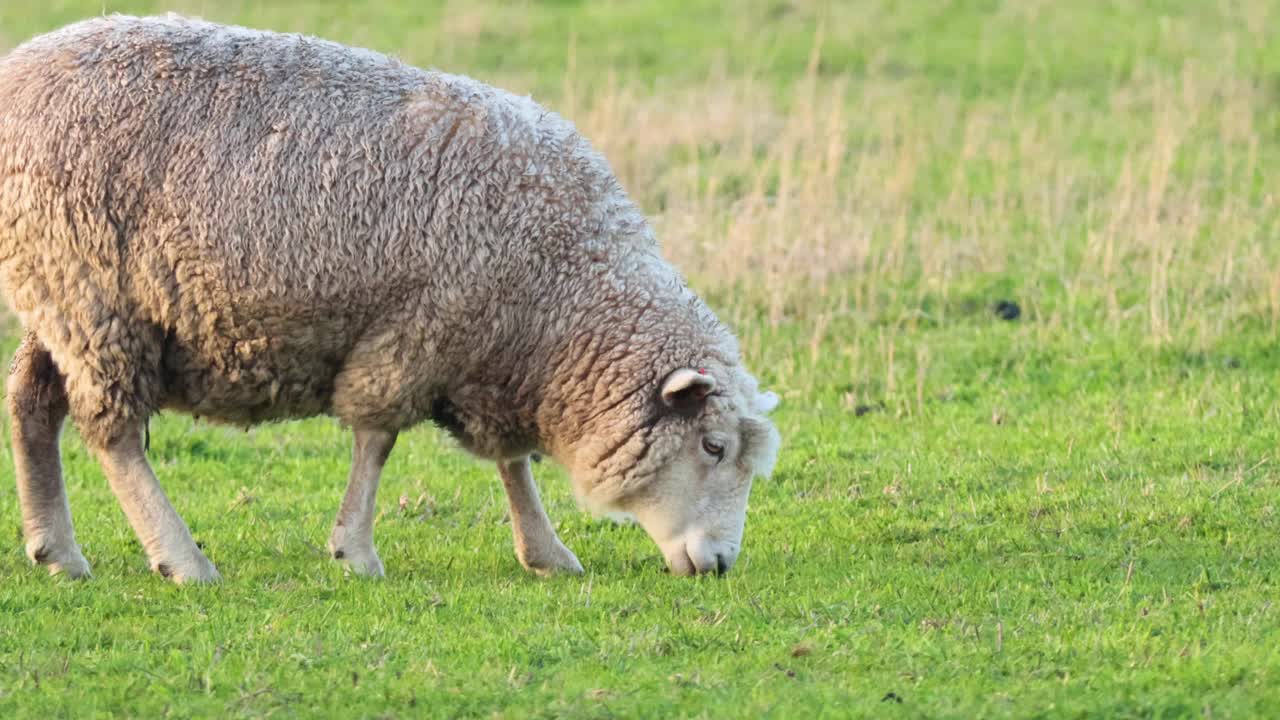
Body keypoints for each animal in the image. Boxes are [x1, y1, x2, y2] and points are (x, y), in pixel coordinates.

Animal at [0, 12, 778, 584]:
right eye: (712, 446)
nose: (719, 564)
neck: (562, 293)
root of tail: (19, 68)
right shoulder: (416, 332)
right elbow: (377, 441)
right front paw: (356, 551)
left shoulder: (489, 352)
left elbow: (512, 459)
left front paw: (544, 550)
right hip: (92, 295)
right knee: (111, 431)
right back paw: (181, 558)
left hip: (55, 293)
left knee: (33, 402)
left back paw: (57, 552)